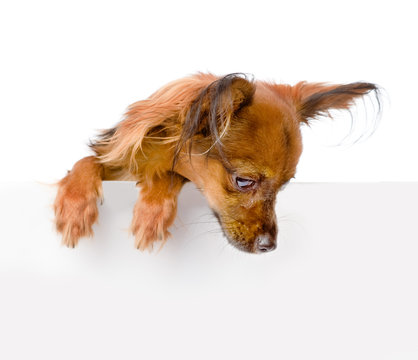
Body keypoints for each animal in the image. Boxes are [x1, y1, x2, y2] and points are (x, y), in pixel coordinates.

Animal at [53, 72, 378, 253]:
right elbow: (85, 162)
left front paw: (151, 212)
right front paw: (74, 207)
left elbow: (170, 175)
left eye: (284, 187)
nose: (269, 247)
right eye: (243, 181)